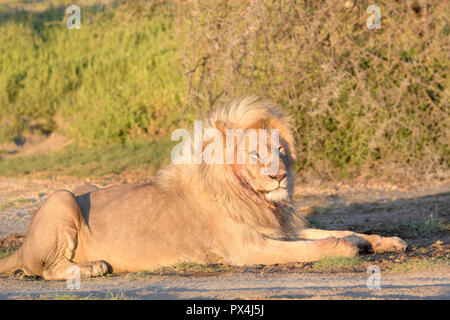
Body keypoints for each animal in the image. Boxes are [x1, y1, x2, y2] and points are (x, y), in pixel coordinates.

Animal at [0, 96, 408, 278]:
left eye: (280, 150)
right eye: (256, 154)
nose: (280, 176)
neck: (254, 199)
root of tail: (21, 246)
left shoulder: (278, 230)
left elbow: (338, 230)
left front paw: (383, 241)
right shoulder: (248, 248)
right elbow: (316, 245)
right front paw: (348, 247)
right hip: (62, 197)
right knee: (46, 270)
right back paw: (93, 267)